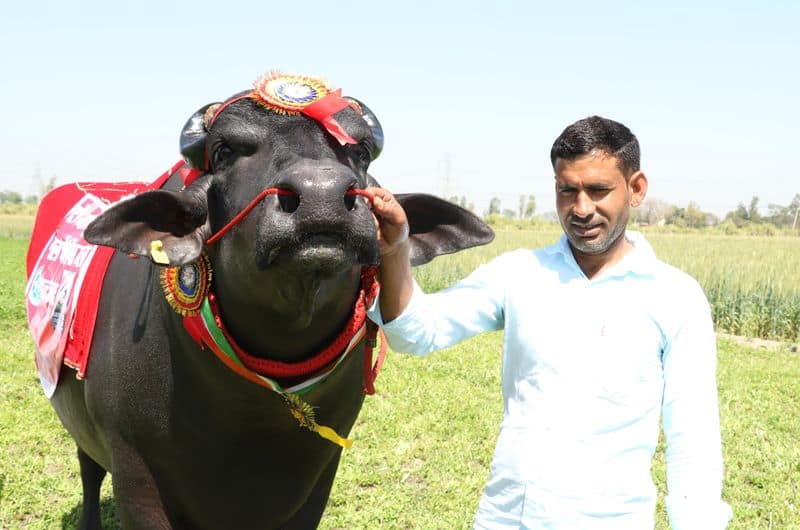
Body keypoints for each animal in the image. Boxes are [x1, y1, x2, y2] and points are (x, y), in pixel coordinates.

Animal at [29, 72, 494, 524]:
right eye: (226, 150)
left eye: (360, 151)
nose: (321, 195)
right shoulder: (135, 475)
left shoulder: (317, 479)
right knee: (88, 470)